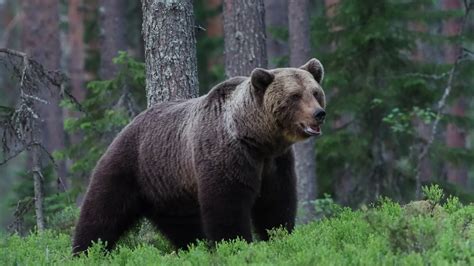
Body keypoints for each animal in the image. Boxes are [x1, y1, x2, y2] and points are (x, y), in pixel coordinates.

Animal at [72, 57, 326, 254]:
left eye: (315, 92)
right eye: (295, 96)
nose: (319, 113)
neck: (257, 138)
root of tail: (128, 124)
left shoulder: (275, 162)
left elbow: (277, 203)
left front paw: (279, 236)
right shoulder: (227, 154)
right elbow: (227, 205)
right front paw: (236, 244)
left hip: (169, 188)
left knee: (182, 226)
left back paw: (192, 247)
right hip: (130, 166)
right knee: (102, 211)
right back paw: (85, 251)